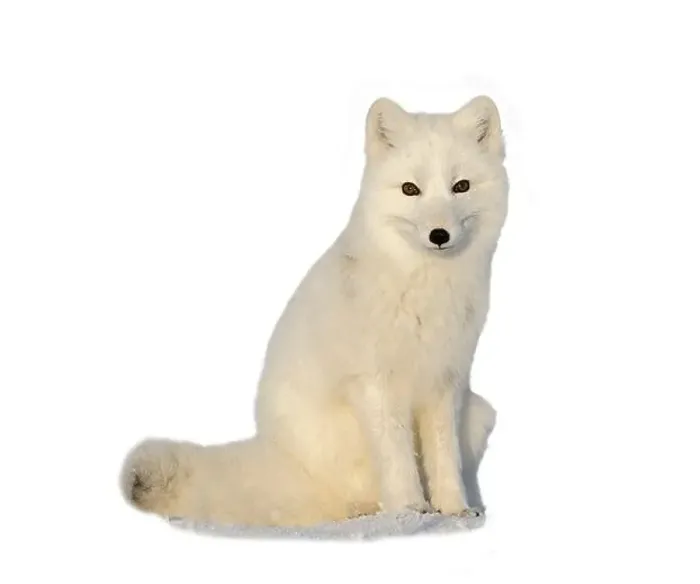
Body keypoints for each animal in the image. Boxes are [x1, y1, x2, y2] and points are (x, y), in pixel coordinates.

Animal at [120, 95, 508, 527]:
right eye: (411, 189)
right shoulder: (375, 383)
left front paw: (454, 510)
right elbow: (397, 461)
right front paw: (410, 512)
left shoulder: (445, 382)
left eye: (461, 186)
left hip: (480, 411)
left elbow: (445, 459)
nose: (439, 235)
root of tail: (276, 456)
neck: (425, 289)